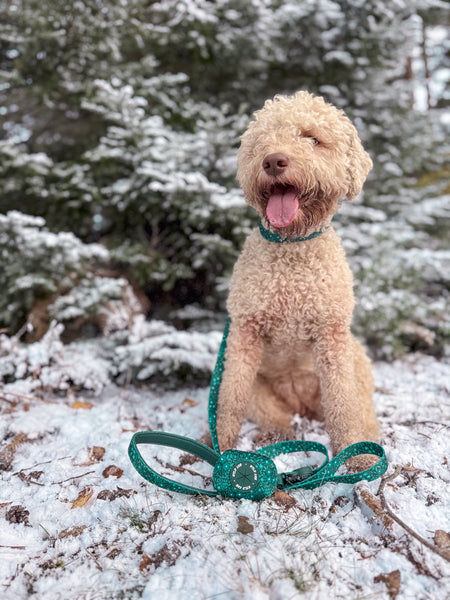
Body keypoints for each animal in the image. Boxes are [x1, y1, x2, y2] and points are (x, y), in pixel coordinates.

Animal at [214, 91, 380, 458]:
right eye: (262, 141)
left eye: (312, 138)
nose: (273, 161)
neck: (292, 249)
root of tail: (301, 405)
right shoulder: (243, 335)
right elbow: (229, 401)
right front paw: (213, 445)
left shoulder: (332, 337)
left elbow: (343, 406)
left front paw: (355, 457)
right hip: (258, 389)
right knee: (273, 416)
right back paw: (273, 438)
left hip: (357, 360)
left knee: (361, 409)